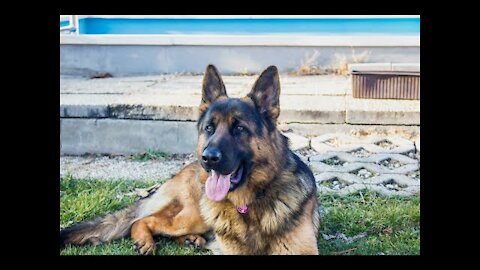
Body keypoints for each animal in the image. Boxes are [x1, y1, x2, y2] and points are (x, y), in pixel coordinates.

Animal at [61, 64, 322, 254]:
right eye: (209, 128)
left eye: (239, 128)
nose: (208, 157)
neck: (248, 204)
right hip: (194, 215)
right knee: (144, 220)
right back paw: (147, 241)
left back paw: (191, 240)